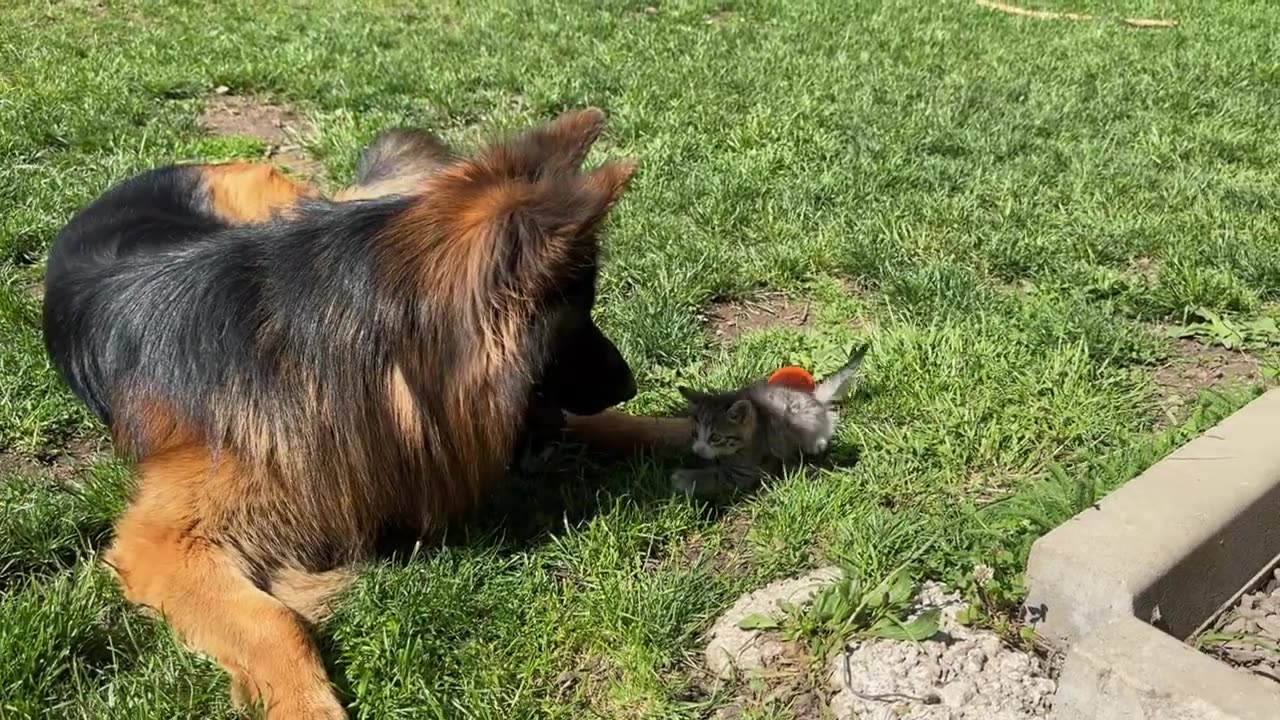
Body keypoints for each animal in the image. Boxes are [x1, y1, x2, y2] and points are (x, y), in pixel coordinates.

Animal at [670, 345, 870, 491]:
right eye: (694, 433)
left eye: (716, 437)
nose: (698, 449)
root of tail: (813, 397)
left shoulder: (745, 472)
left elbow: (715, 476)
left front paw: (682, 479)